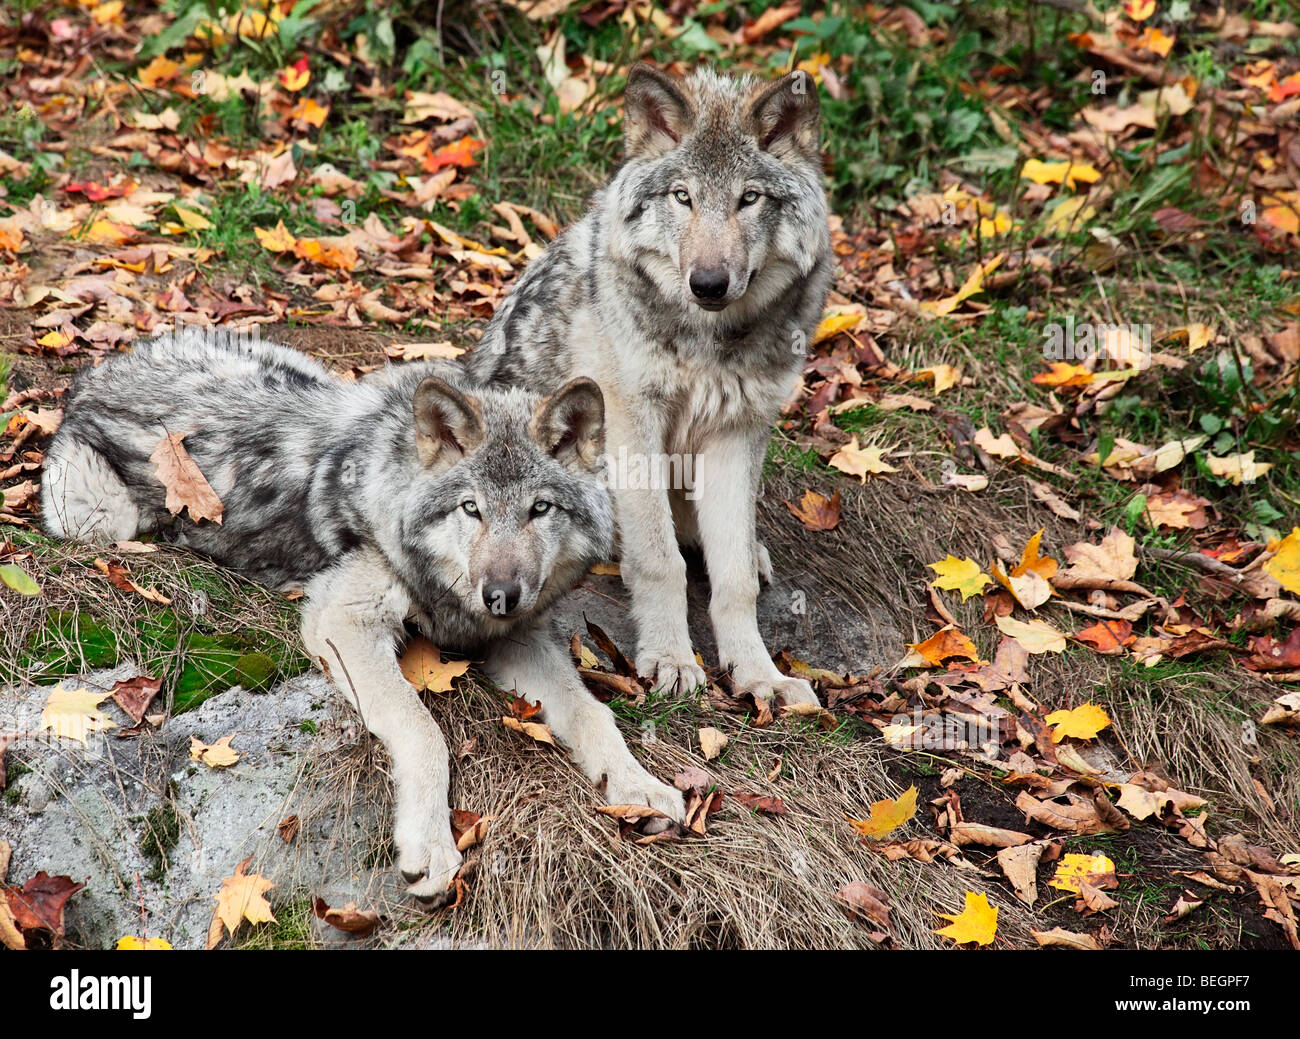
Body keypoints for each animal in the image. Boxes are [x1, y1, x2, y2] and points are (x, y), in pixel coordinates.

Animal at [41, 330, 686, 903]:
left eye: (540, 509)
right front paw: (431, 845)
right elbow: (424, 731)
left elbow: (595, 715)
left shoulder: (520, 639)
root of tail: (97, 372)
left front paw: (641, 788)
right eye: (471, 509)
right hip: (101, 521)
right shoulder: (342, 621)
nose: (501, 594)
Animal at [468, 64, 833, 706]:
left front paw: (759, 674)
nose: (708, 283)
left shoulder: (738, 433)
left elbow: (734, 578)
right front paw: (670, 659)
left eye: (749, 198)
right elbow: (661, 562)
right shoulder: (631, 424)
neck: (709, 343)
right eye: (682, 196)